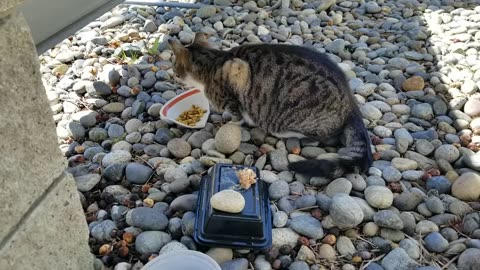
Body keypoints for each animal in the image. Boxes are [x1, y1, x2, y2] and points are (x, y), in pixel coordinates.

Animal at [169, 32, 376, 178]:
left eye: (174, 65)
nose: (172, 73)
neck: (212, 62)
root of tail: (351, 103)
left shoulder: (237, 76)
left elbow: (236, 115)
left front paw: (230, 122)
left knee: (321, 135)